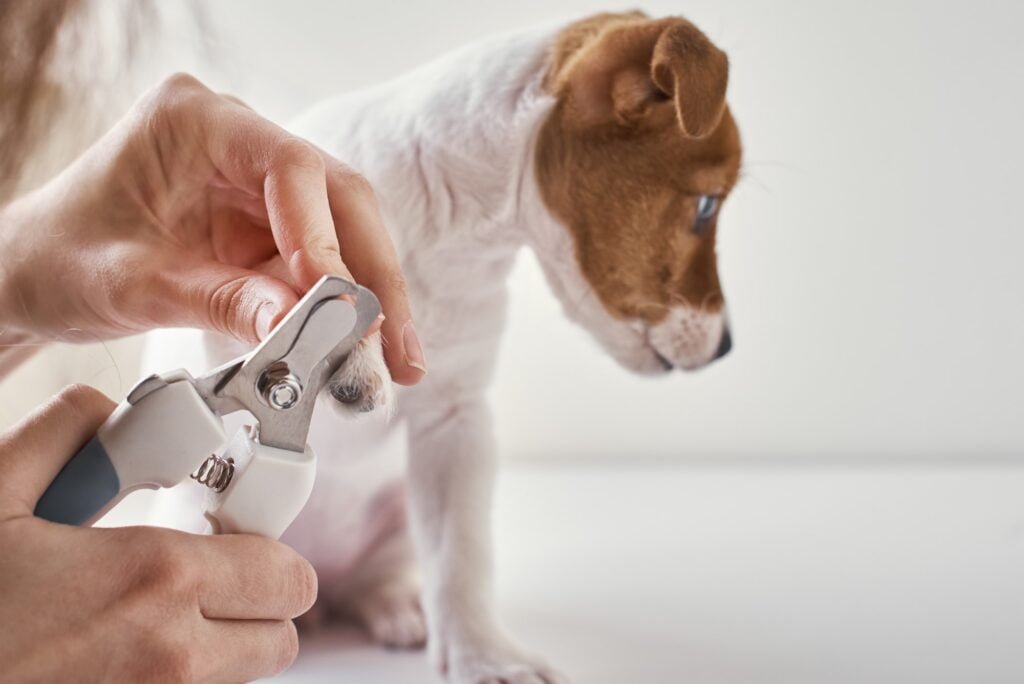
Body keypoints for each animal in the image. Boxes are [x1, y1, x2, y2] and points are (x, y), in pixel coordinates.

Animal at [142, 12, 737, 684]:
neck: (448, 229)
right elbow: (294, 280)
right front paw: (356, 347)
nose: (727, 348)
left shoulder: (456, 422)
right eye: (707, 205)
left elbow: (460, 555)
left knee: (378, 576)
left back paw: (396, 605)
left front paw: (483, 655)